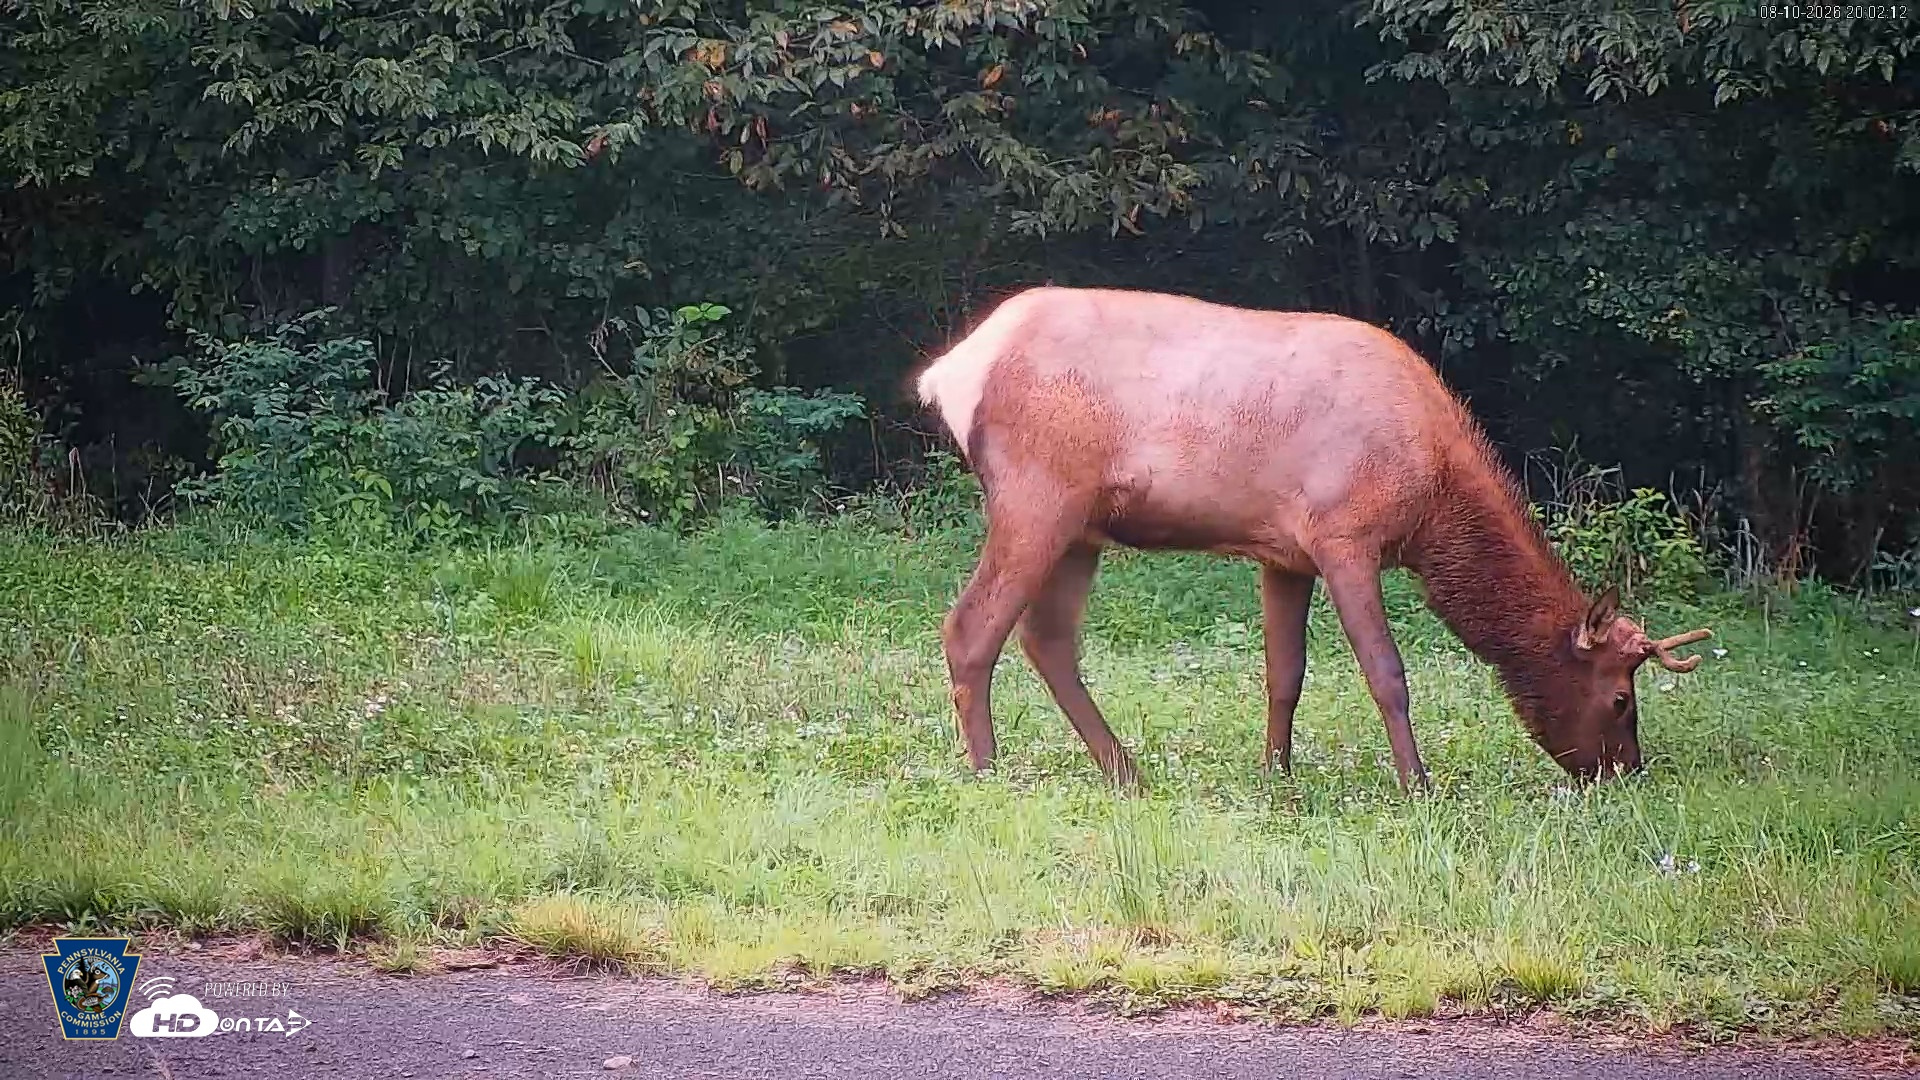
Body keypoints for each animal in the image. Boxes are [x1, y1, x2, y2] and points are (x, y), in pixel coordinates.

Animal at [913, 286, 1712, 793]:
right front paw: (1418, 785)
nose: (1625, 772)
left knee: (1047, 640)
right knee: (970, 627)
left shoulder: (1283, 554)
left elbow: (1284, 674)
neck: (1433, 495)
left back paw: (1126, 773)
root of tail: (950, 370)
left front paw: (1278, 774)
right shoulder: (1344, 536)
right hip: (1037, 497)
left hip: (1084, 527)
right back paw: (988, 771)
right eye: (1620, 699)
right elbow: (1386, 672)